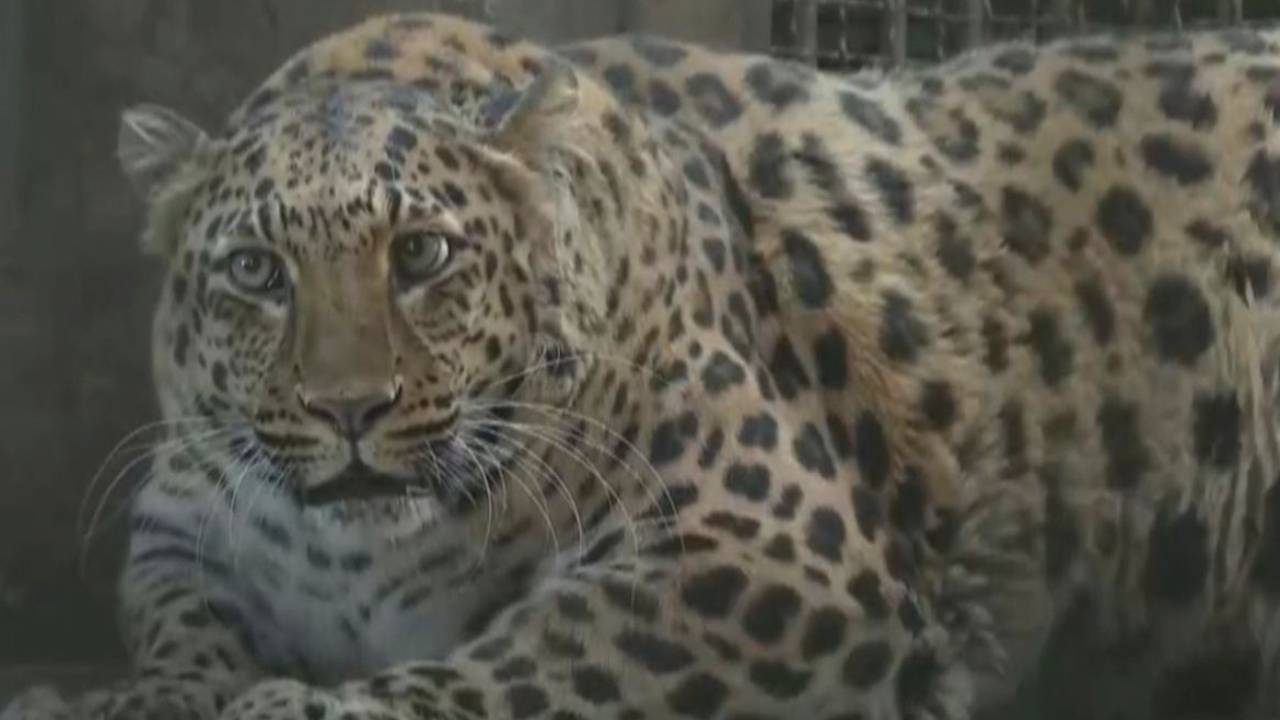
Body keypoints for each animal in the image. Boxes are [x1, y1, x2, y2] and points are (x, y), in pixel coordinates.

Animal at [6, 10, 1280, 720]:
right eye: (257, 272)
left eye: (420, 254)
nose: (350, 410)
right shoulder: (181, 527)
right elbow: (180, 626)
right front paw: (130, 701)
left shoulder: (763, 550)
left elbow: (527, 664)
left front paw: (286, 711)